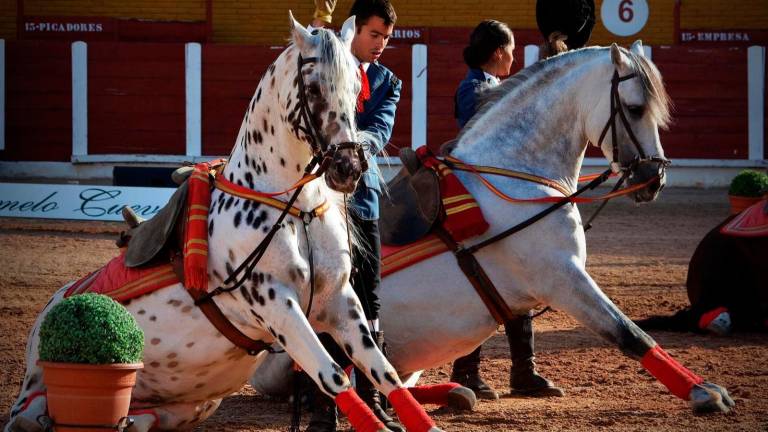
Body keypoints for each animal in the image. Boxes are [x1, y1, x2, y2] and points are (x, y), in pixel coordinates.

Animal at [4, 13, 468, 432]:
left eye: (358, 89)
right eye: (314, 88)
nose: (348, 168)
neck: (296, 209)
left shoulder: (340, 301)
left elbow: (385, 372)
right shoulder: (278, 305)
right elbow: (335, 377)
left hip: (190, 406)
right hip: (42, 395)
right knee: (32, 415)